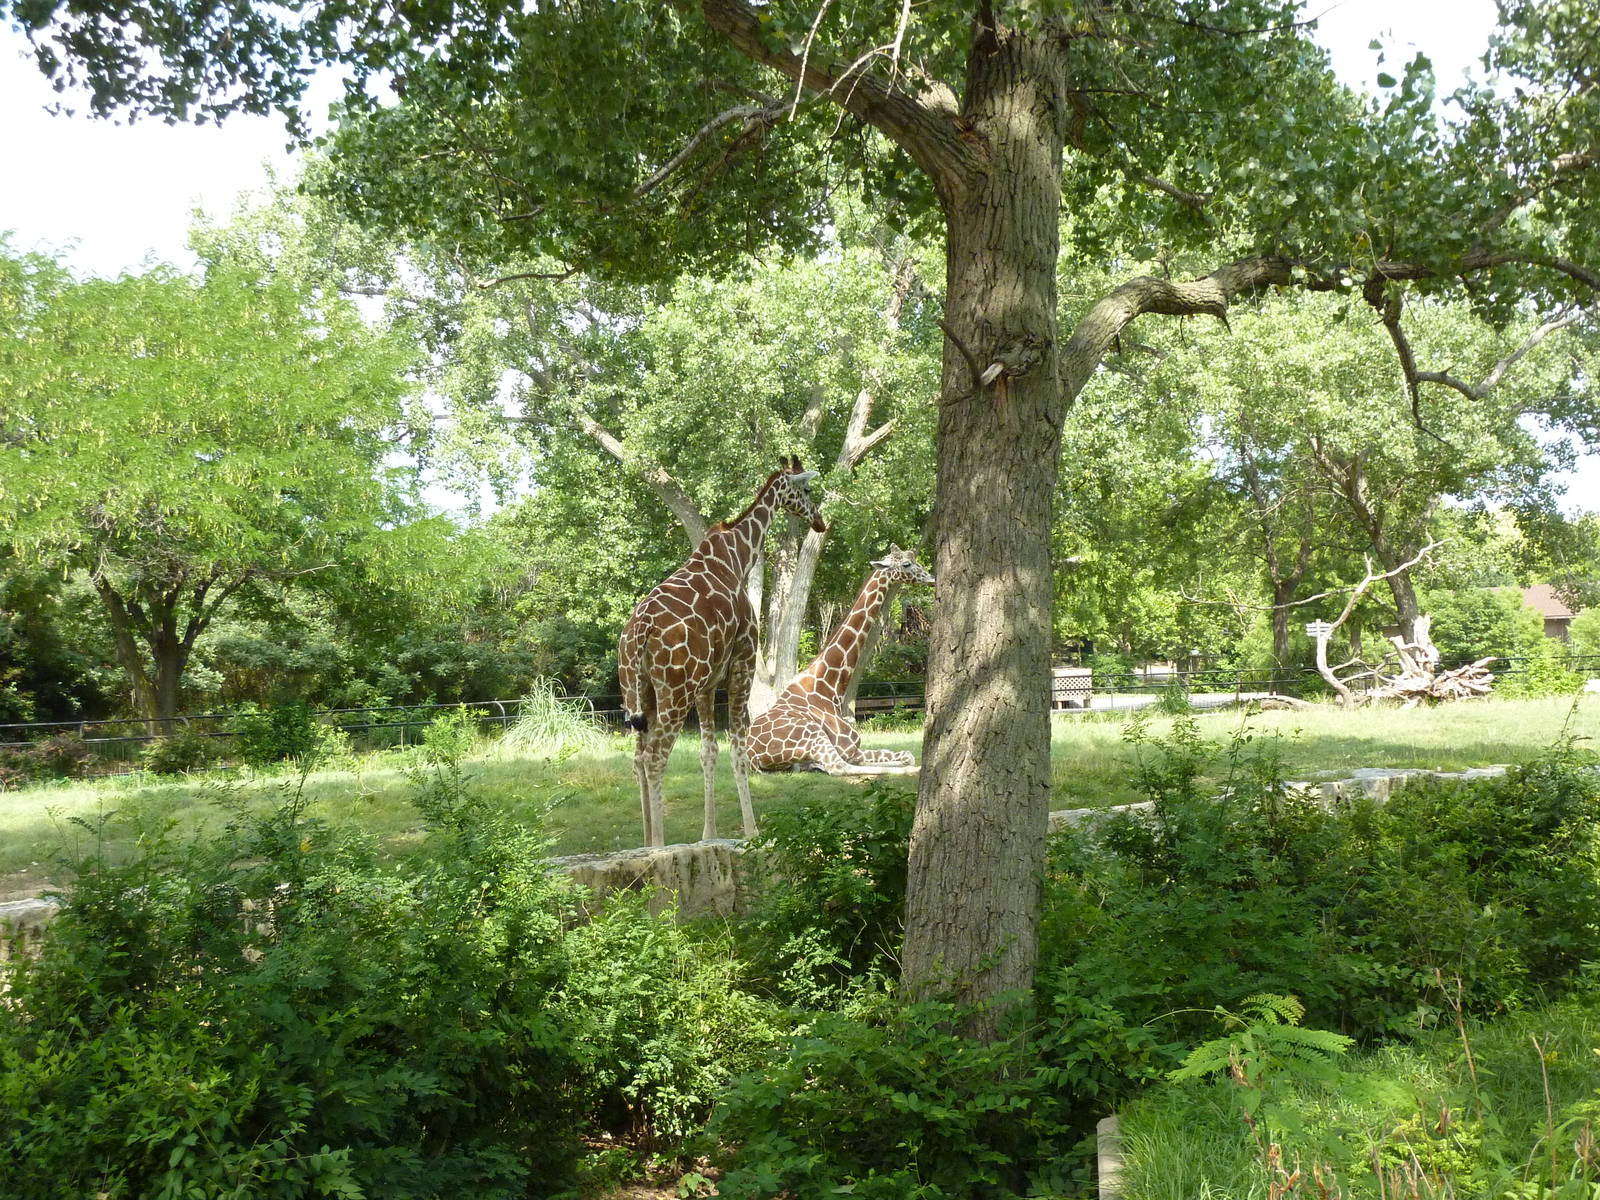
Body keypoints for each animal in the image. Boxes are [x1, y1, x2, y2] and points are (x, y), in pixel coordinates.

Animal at [618, 457, 827, 847]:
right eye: (807, 489)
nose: (819, 521)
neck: (738, 557)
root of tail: (637, 634)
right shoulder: (742, 664)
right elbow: (738, 750)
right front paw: (752, 830)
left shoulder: (707, 683)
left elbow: (708, 752)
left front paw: (708, 835)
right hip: (675, 692)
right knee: (655, 758)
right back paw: (659, 848)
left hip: (638, 691)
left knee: (638, 758)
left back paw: (646, 841)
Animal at [747, 545, 933, 776]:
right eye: (906, 564)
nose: (931, 578)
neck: (831, 688)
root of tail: (752, 756)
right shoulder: (848, 748)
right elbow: (902, 757)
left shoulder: (854, 749)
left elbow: (906, 755)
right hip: (813, 734)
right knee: (839, 768)